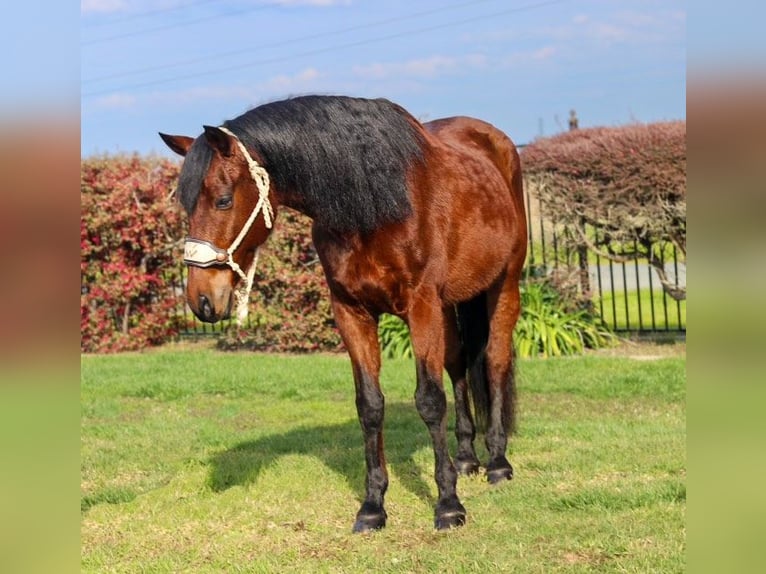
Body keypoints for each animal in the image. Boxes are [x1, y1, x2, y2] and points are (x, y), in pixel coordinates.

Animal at [158, 95, 524, 536]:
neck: (374, 202)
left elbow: (429, 400)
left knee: (495, 360)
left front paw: (448, 505)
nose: (202, 300)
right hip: (450, 301)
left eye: (223, 200)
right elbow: (370, 405)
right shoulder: (352, 312)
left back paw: (498, 461)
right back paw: (468, 457)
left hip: (504, 284)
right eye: (186, 205)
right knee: (458, 364)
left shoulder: (421, 306)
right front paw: (373, 506)